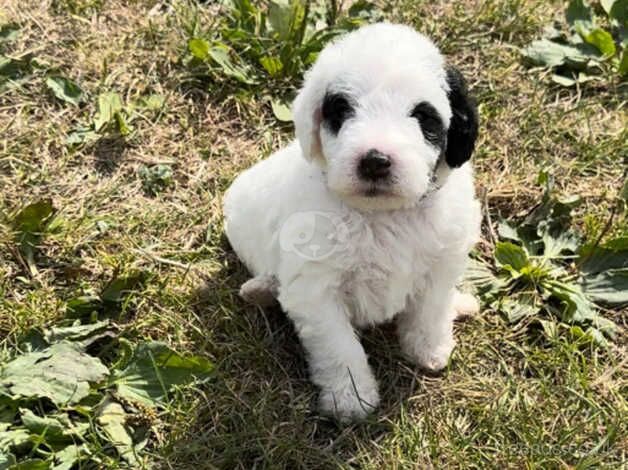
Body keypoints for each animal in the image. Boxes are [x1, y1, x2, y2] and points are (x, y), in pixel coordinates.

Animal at [224, 23, 480, 422]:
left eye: (423, 116)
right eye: (342, 111)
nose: (375, 160)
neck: (382, 214)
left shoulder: (441, 262)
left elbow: (430, 309)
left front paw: (428, 349)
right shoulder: (316, 289)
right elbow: (339, 345)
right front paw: (351, 398)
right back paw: (261, 290)